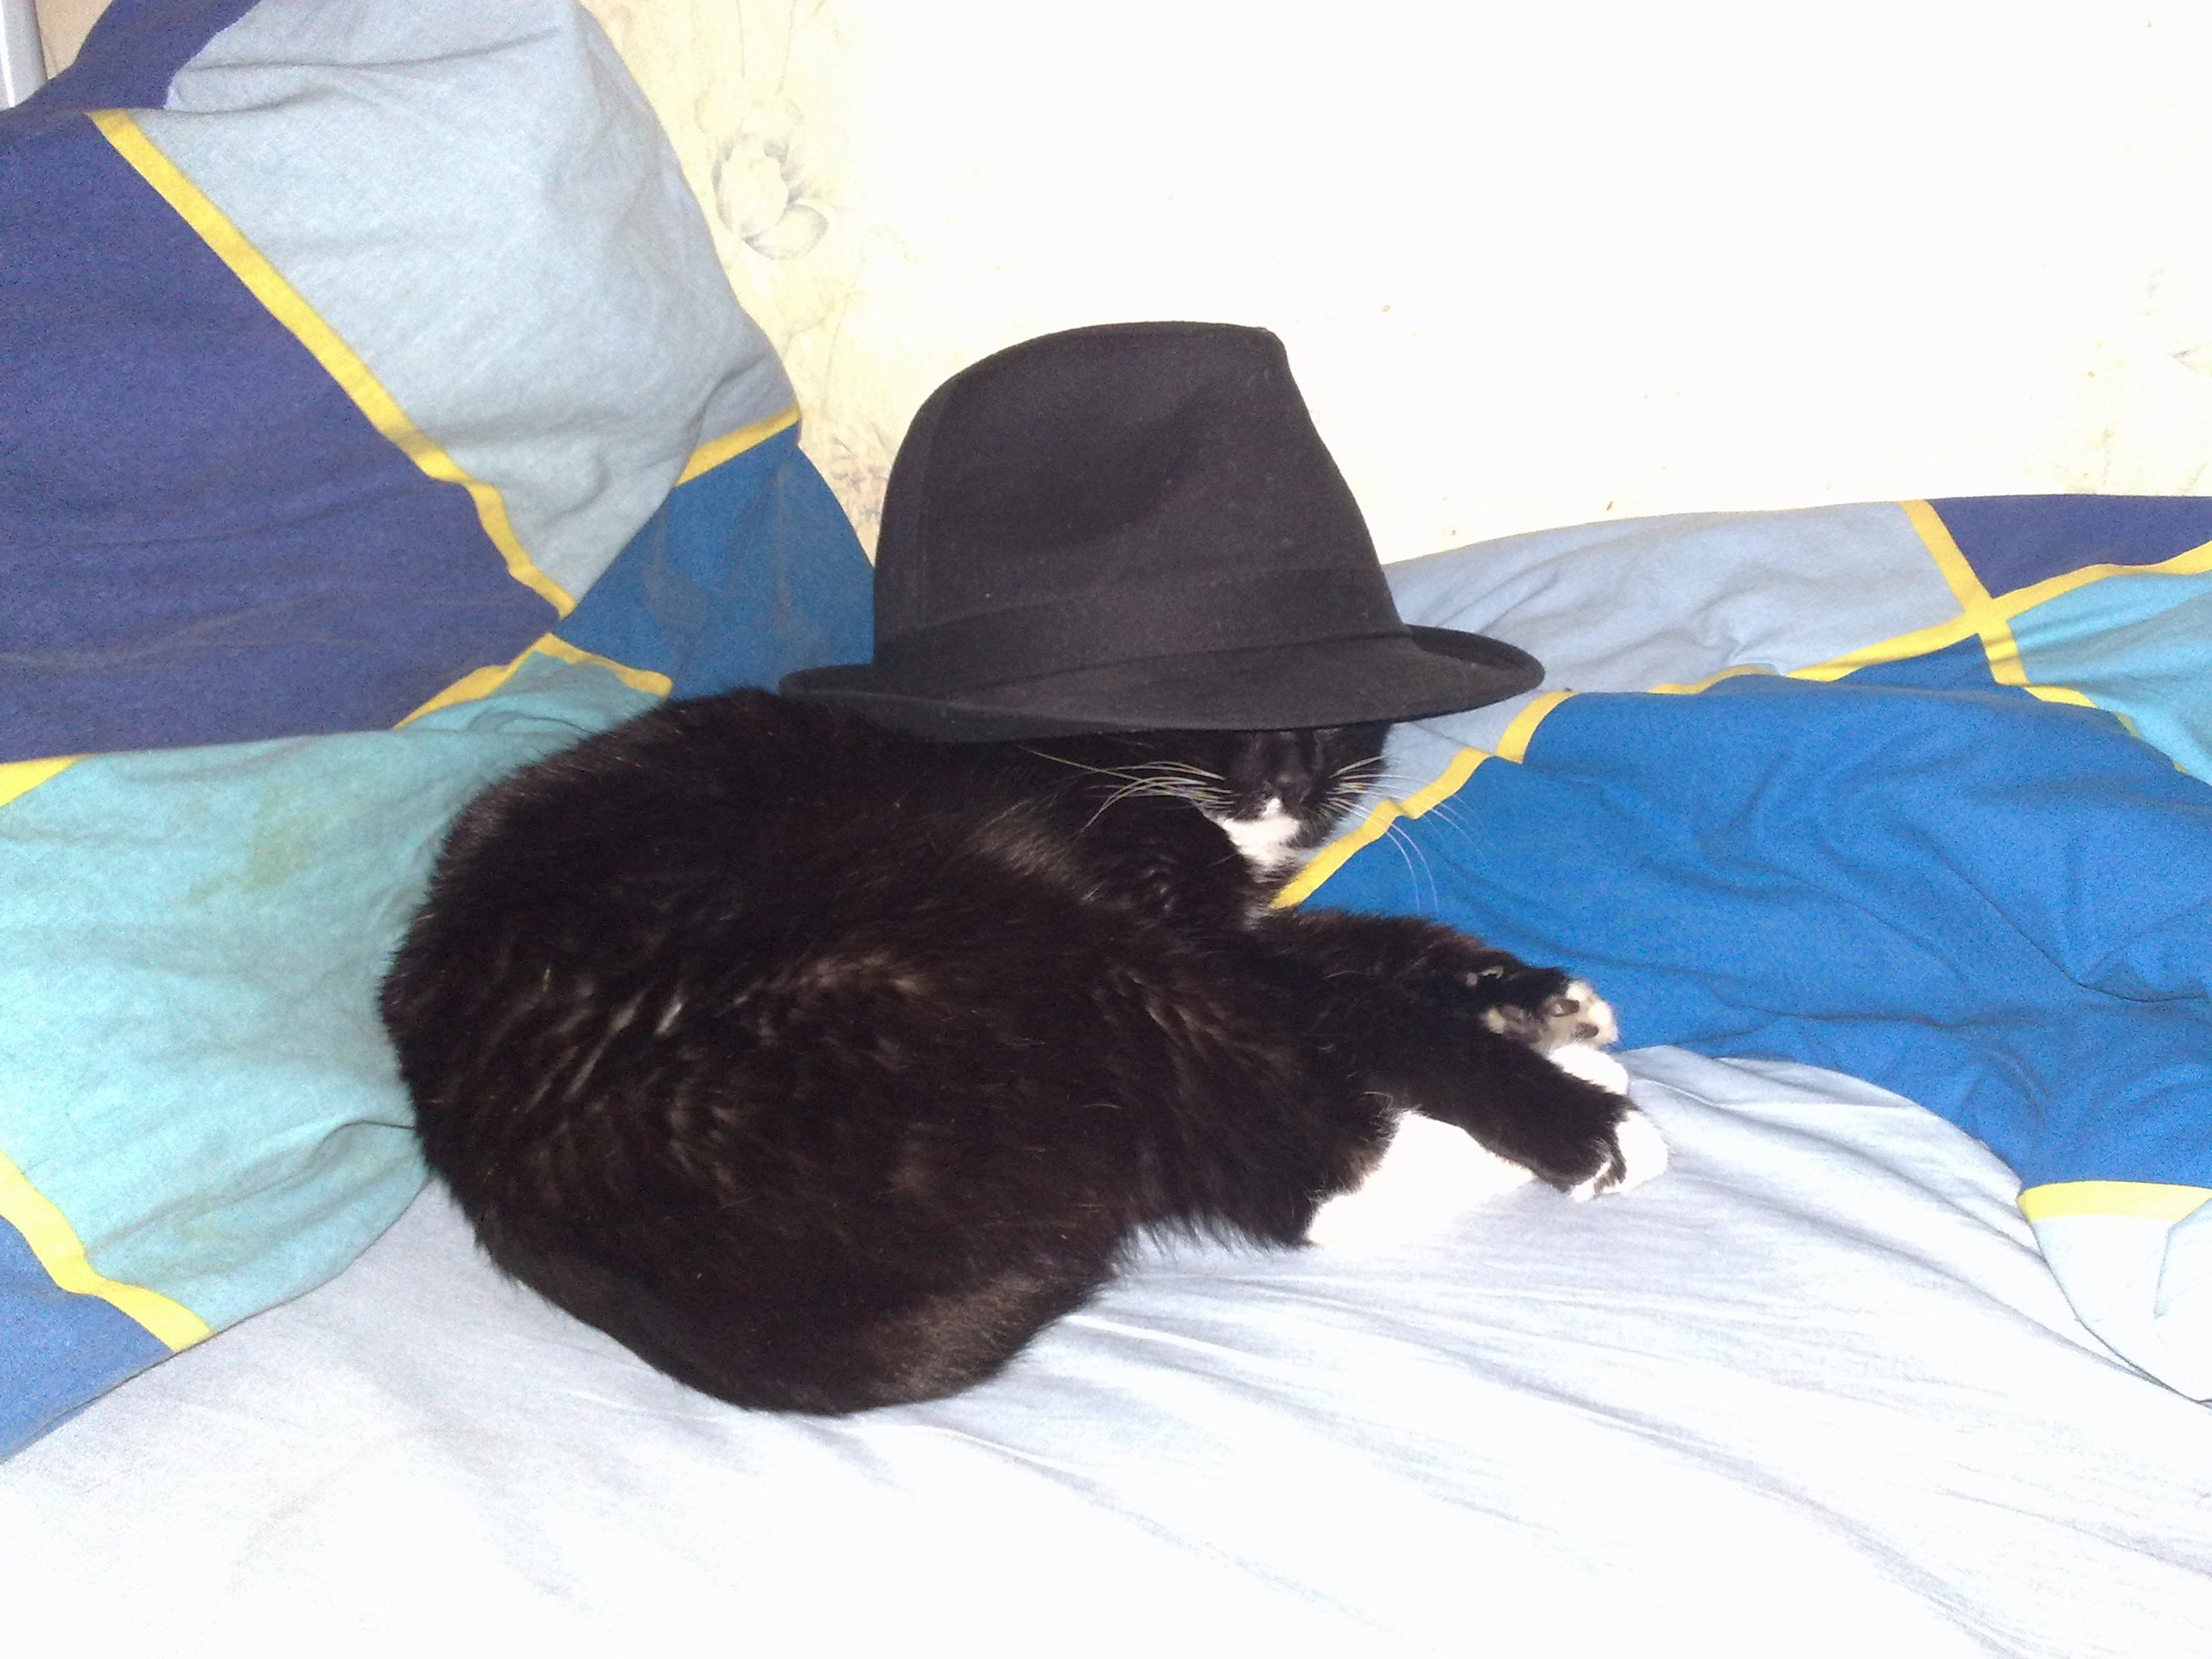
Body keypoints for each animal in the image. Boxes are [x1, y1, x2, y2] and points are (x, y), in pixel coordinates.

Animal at [379, 688, 1664, 1414]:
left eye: (1339, 712)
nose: (1294, 777)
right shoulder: (1180, 929)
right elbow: (1366, 1002)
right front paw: (1548, 1082)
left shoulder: (1224, 924)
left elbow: (1368, 946)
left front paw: (1538, 997)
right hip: (1019, 947)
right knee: (1314, 1168)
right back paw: (1593, 1125)